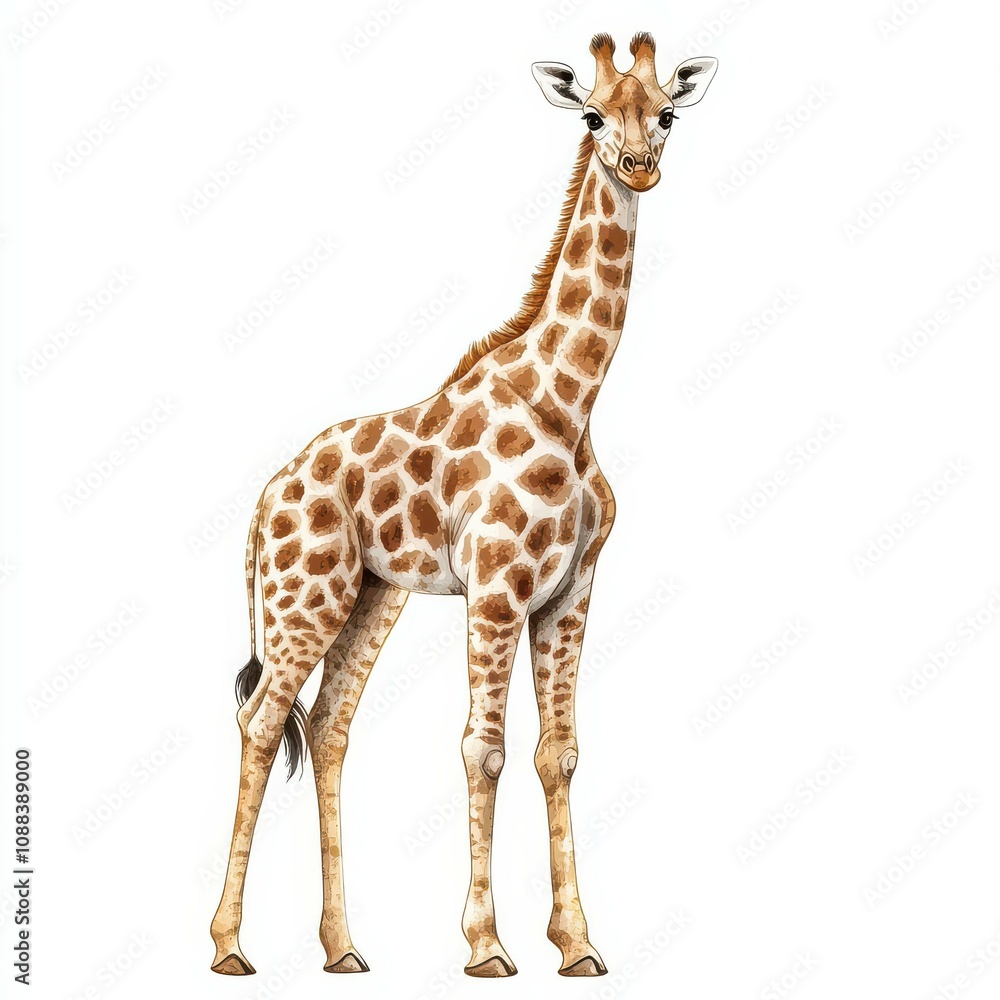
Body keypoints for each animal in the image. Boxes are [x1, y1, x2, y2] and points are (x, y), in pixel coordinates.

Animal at [210, 31, 717, 979]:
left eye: (667, 112)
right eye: (592, 117)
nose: (639, 167)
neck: (570, 399)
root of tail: (263, 501)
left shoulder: (570, 590)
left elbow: (559, 753)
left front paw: (578, 944)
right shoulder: (496, 587)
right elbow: (483, 749)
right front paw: (486, 945)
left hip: (373, 595)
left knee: (328, 727)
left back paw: (343, 948)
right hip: (306, 594)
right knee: (260, 722)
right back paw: (227, 946)